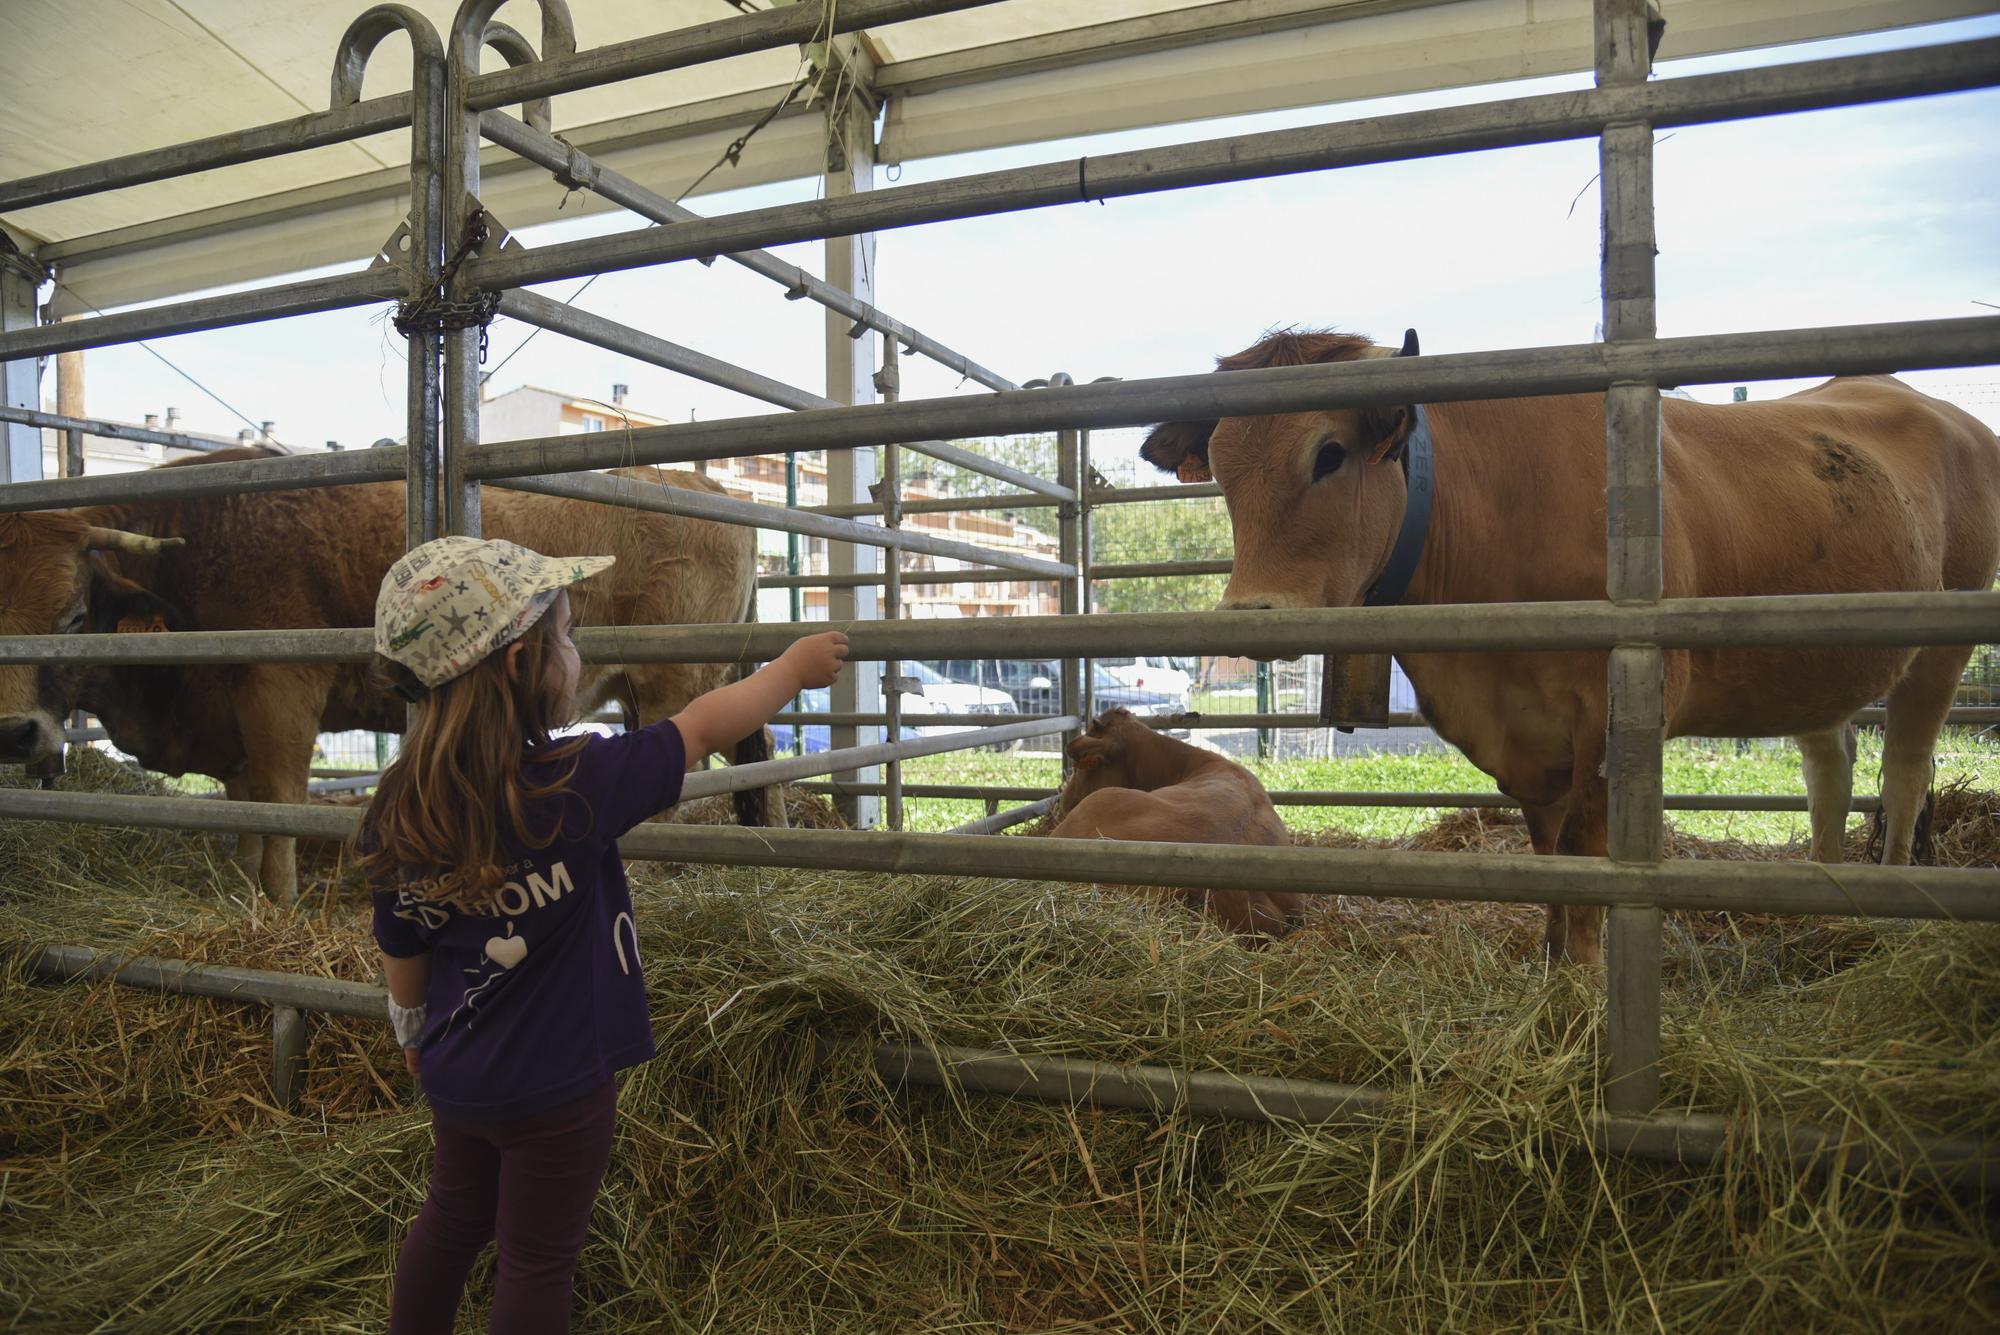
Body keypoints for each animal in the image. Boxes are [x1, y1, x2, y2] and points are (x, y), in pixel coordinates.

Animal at [0, 447, 772, 895]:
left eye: (74, 614)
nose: (15, 731)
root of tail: (704, 483)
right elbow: (247, 819)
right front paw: (245, 893)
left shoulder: (277, 689)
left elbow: (279, 811)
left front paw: (279, 906)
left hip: (669, 686)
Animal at [1144, 331, 2000, 959]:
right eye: (1218, 467)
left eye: (1328, 453)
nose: (1251, 611)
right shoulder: (1526, 735)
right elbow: (1552, 850)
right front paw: (1554, 959)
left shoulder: (1610, 719)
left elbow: (1589, 850)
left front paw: (1583, 973)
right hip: (1817, 659)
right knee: (1832, 764)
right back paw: (1820, 897)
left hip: (1941, 645)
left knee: (1906, 773)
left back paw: (1887, 908)